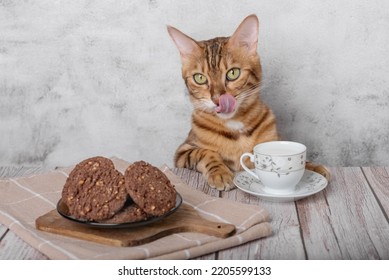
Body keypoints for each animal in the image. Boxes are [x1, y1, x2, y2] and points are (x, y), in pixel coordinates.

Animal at [166, 14, 328, 190]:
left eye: (233, 73)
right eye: (200, 78)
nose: (217, 100)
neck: (235, 124)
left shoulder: (274, 141)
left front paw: (312, 167)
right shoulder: (182, 151)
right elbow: (205, 153)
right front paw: (219, 172)